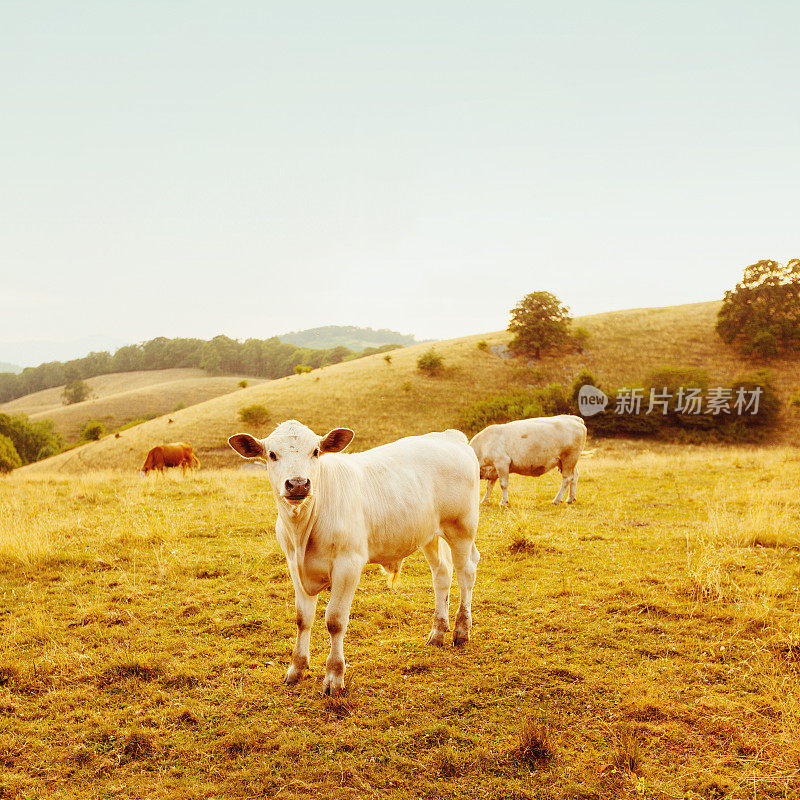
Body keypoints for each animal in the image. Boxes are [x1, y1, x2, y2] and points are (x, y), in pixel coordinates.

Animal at [231, 422, 482, 696]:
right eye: (272, 454)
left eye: (316, 451)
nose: (298, 484)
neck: (302, 531)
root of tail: (449, 436)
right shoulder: (294, 566)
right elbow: (302, 618)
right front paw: (296, 668)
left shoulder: (348, 565)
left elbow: (335, 621)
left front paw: (334, 676)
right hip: (429, 534)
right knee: (442, 574)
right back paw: (437, 632)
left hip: (462, 527)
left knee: (466, 571)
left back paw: (461, 630)